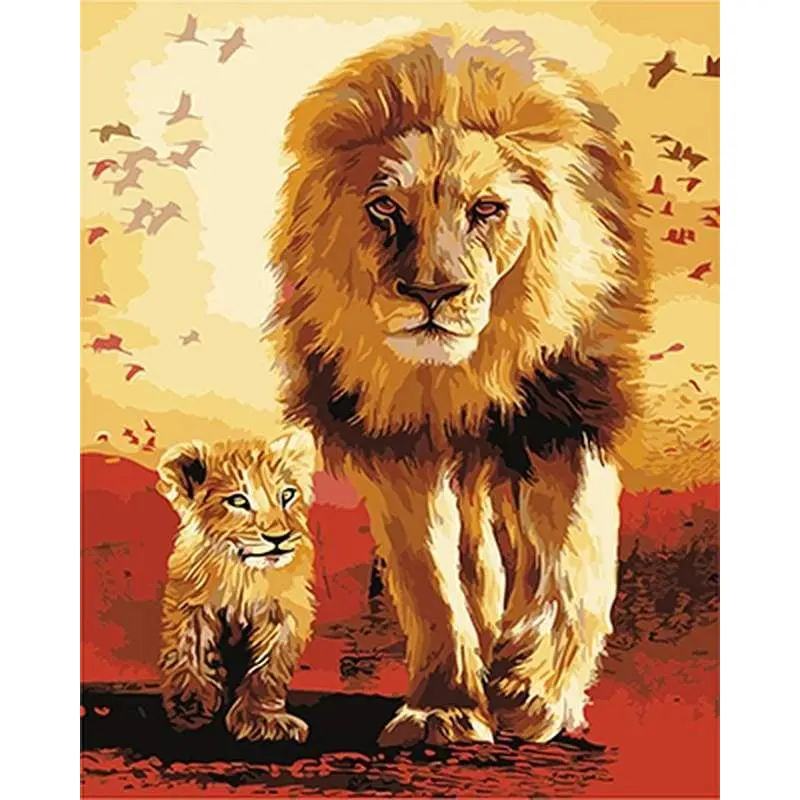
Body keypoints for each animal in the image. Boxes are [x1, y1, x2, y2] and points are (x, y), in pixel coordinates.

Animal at [156, 432, 316, 743]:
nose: (278, 538)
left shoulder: (283, 615)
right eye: (238, 500)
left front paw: (263, 720)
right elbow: (190, 655)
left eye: (286, 495)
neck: (244, 574)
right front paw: (190, 711)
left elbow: (267, 671)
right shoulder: (192, 605)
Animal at [268, 26, 651, 747]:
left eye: (487, 210)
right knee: (478, 556)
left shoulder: (567, 413)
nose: (432, 293)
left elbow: (575, 564)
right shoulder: (397, 444)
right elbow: (432, 582)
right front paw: (444, 707)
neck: (458, 374)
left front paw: (536, 693)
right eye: (385, 207)